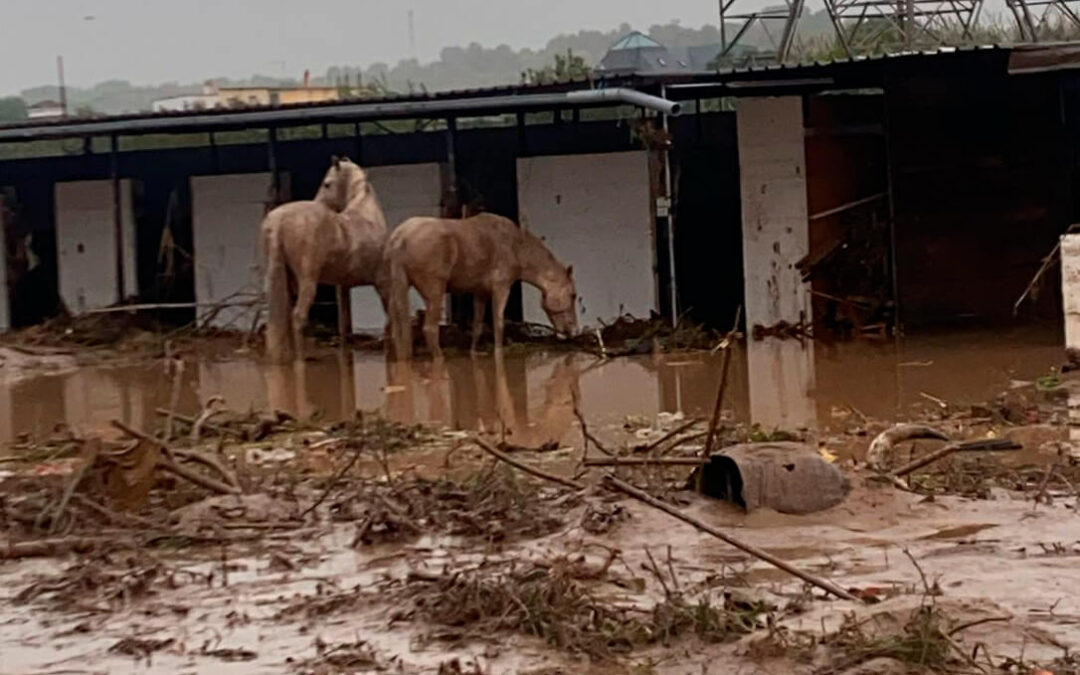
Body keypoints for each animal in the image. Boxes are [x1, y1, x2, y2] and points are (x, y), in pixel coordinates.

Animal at [259, 157, 386, 360]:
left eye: (327, 184)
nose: (316, 201)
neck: (367, 217)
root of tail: (279, 221)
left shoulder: (343, 287)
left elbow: (343, 326)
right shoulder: (382, 283)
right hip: (307, 282)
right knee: (298, 317)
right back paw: (300, 359)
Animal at [382, 212, 583, 360]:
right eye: (573, 295)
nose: (573, 332)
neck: (516, 247)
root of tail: (400, 237)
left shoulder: (480, 292)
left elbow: (478, 325)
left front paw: (474, 353)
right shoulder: (501, 288)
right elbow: (498, 324)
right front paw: (499, 353)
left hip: (397, 291)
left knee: (393, 330)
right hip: (434, 293)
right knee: (430, 329)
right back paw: (440, 358)